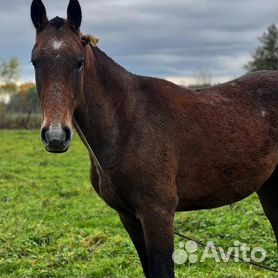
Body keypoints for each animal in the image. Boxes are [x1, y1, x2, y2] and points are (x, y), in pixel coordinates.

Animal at [29, 1, 276, 276]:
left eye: (79, 62)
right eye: (35, 62)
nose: (56, 136)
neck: (125, 126)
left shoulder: (157, 214)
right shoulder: (129, 217)